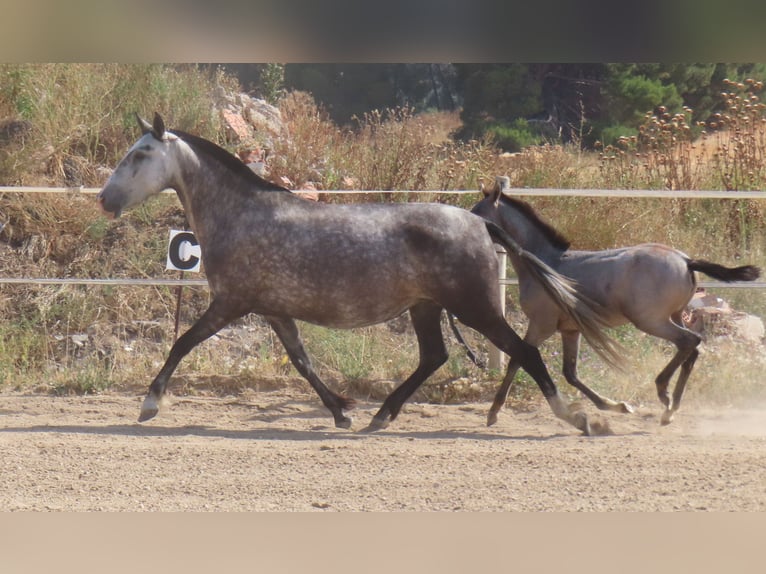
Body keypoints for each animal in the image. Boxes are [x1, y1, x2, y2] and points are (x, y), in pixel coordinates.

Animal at [99, 113, 620, 436]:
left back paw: (579, 419)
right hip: (426, 308)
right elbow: (303, 362)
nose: (105, 199)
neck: (241, 215)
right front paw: (341, 413)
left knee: (524, 354)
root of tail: (480, 222)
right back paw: (381, 416)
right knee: (434, 357)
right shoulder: (273, 311)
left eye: (140, 154)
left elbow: (181, 343)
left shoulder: (230, 303)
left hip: (475, 309)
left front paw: (149, 405)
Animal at [474, 180, 760, 428]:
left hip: (651, 321)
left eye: (477, 212)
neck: (544, 262)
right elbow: (570, 373)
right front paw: (617, 406)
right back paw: (670, 409)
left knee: (689, 342)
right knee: (692, 350)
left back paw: (663, 394)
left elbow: (518, 359)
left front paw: (493, 412)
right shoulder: (570, 329)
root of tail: (686, 261)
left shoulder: (541, 325)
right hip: (675, 316)